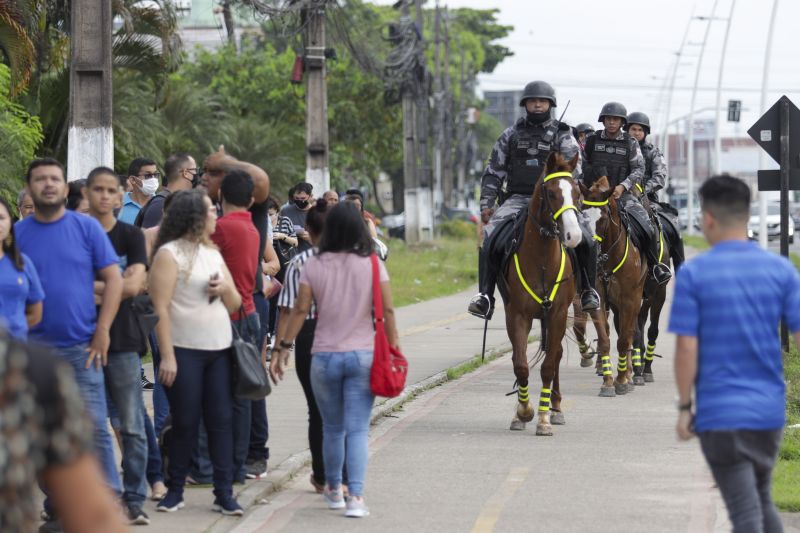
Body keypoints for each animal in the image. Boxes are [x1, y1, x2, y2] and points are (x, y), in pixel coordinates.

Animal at [506, 152, 580, 434]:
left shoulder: (558, 314)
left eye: (577, 192)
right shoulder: (517, 314)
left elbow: (548, 366)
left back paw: (555, 407)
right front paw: (523, 412)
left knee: (555, 355)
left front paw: (544, 418)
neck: (541, 261)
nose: (574, 235)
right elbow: (521, 364)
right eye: (551, 193)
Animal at [576, 178, 648, 394]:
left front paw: (622, 380)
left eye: (602, 218)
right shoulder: (598, 300)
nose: (590, 249)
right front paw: (608, 382)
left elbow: (624, 339)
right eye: (582, 214)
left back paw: (631, 374)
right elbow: (605, 339)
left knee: (631, 332)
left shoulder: (630, 300)